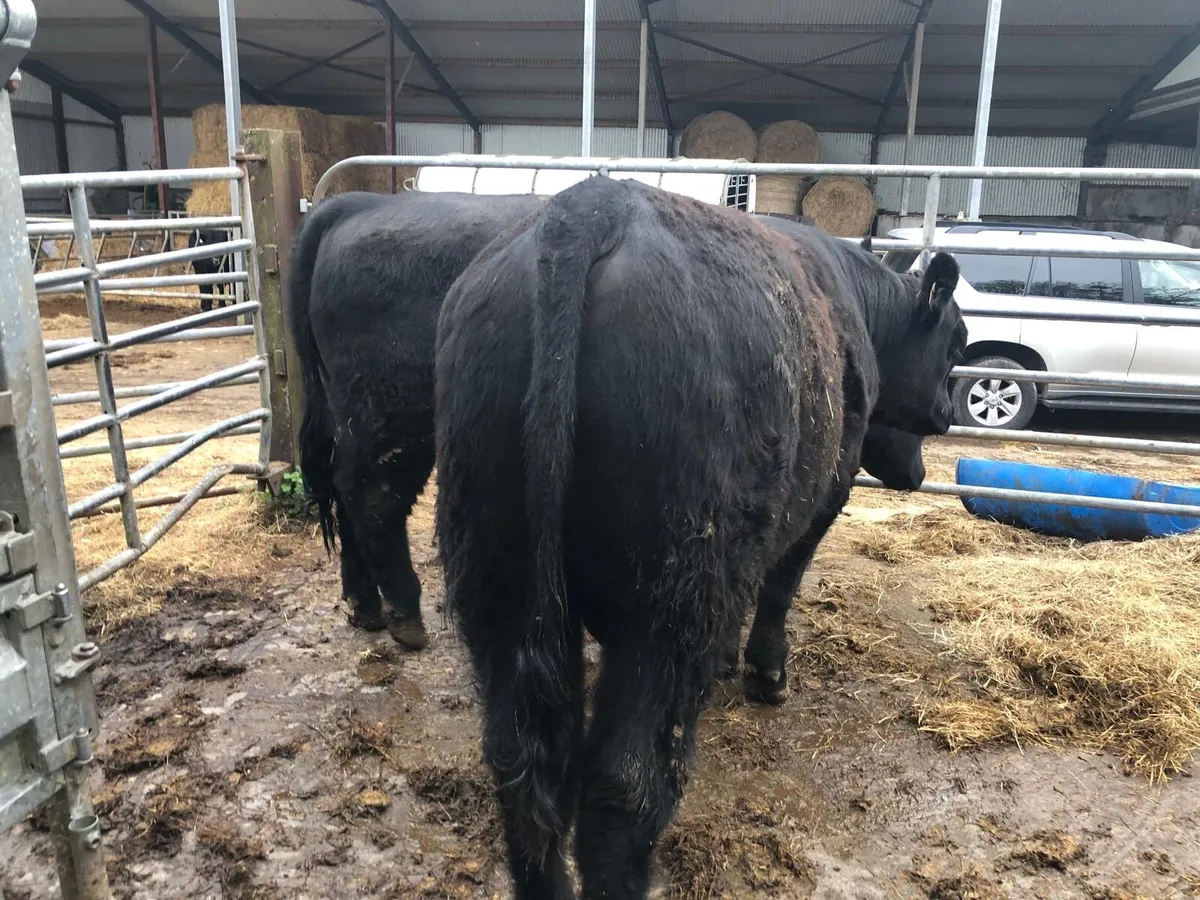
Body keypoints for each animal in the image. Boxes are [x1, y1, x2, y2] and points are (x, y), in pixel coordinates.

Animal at [286, 190, 544, 650]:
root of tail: (362, 204)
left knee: (346, 488)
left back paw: (366, 606)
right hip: (397, 418)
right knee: (373, 497)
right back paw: (405, 614)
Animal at [433, 176, 964, 898]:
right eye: (955, 345)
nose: (945, 416)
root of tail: (590, 207)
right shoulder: (825, 496)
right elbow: (780, 588)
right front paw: (767, 674)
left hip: (498, 575)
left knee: (520, 762)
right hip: (669, 598)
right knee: (627, 783)